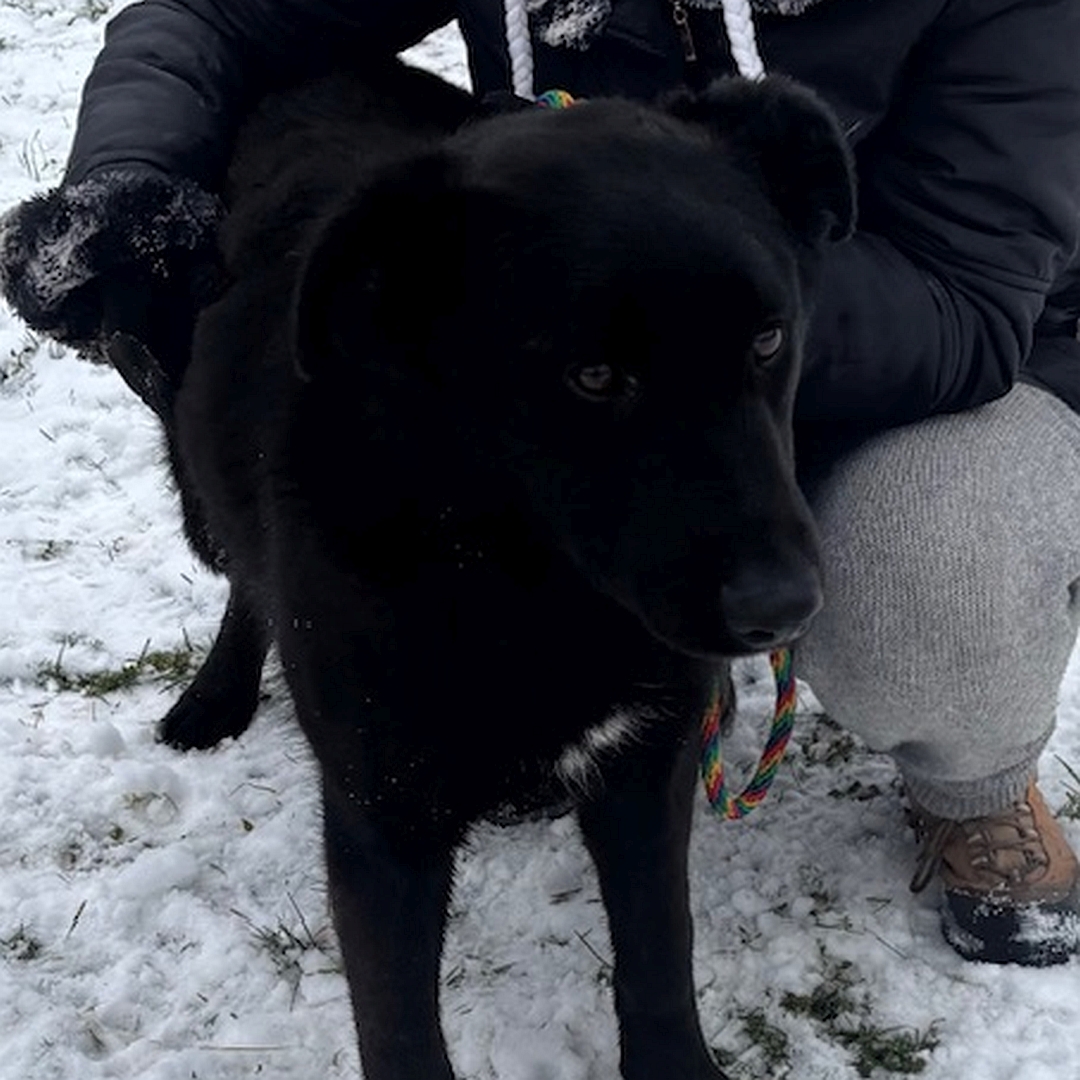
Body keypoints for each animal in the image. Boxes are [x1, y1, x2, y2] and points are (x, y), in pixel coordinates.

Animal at [157, 63, 851, 1080]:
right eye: (593, 377)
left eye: (767, 340)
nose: (785, 608)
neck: (522, 582)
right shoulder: (383, 820)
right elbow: (401, 1030)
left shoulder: (649, 765)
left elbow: (660, 951)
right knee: (246, 582)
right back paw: (215, 696)